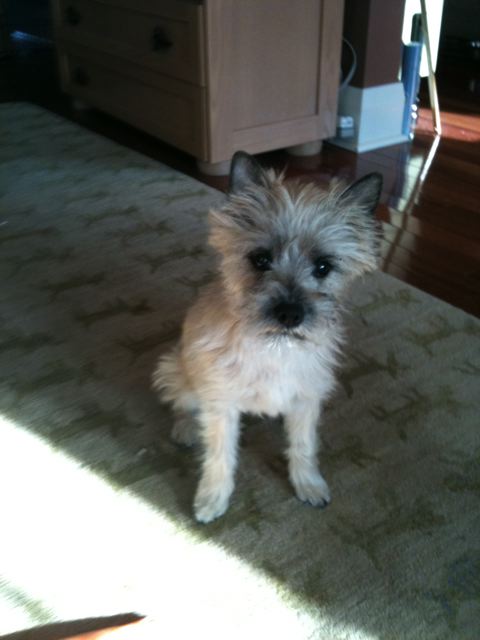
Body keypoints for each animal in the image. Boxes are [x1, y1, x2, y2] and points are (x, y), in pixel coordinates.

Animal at [153, 151, 382, 523]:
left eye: (323, 267)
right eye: (260, 259)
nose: (290, 314)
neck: (273, 350)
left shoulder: (306, 401)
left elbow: (303, 446)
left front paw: (308, 484)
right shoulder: (220, 407)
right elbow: (219, 456)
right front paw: (211, 498)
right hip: (177, 371)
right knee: (182, 404)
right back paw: (186, 428)